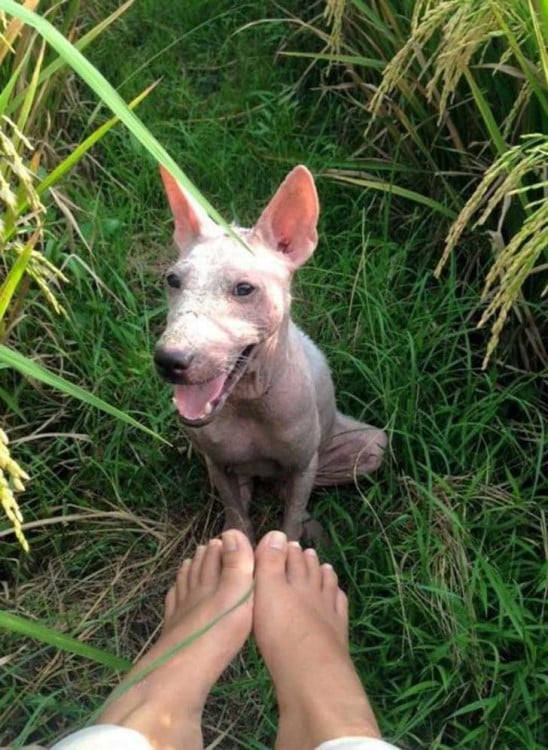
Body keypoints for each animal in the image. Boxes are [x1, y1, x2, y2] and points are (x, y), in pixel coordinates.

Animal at [152, 166, 388, 540]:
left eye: (244, 289)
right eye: (172, 280)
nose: (169, 360)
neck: (249, 400)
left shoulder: (304, 465)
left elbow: (289, 522)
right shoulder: (217, 464)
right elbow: (237, 516)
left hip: (368, 445)